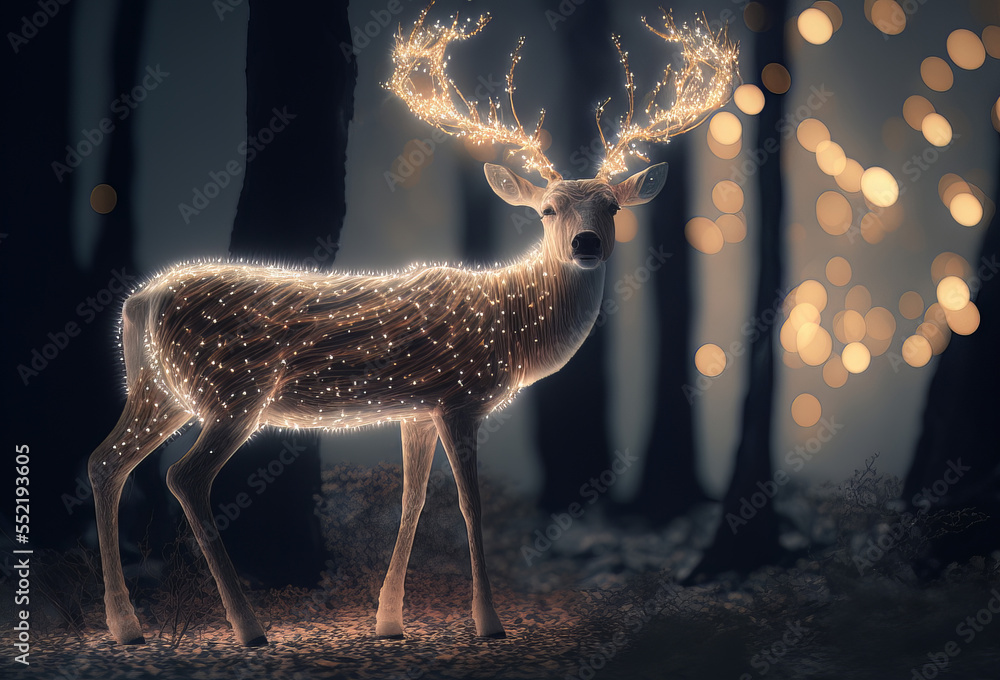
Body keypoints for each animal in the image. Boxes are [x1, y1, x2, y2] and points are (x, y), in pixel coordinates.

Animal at [88, 4, 738, 647]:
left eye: (613, 205)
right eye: (548, 209)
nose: (586, 244)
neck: (511, 324)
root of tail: (141, 299)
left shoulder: (416, 409)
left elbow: (413, 501)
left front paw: (389, 621)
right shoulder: (460, 394)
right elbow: (471, 503)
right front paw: (489, 622)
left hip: (160, 390)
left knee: (105, 461)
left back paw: (126, 626)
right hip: (232, 387)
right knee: (185, 477)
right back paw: (247, 628)